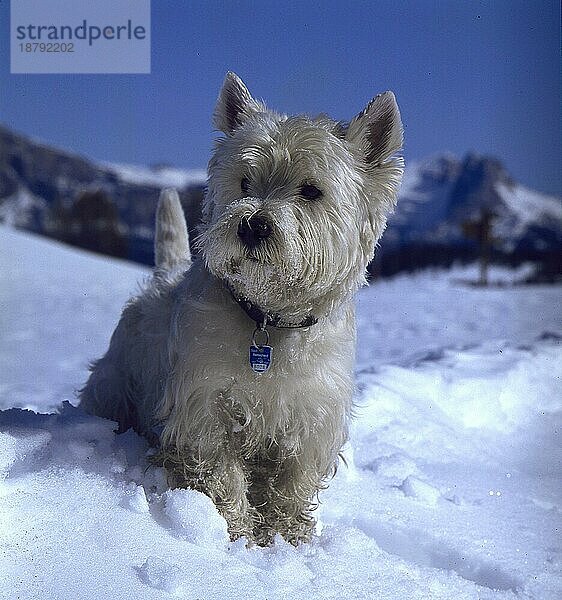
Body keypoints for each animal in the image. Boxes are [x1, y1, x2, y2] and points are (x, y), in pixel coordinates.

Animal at [80, 72, 402, 548]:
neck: (270, 320)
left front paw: (288, 538)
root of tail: (163, 274)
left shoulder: (310, 419)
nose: (252, 224)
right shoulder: (205, 408)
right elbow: (222, 475)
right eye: (245, 182)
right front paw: (236, 534)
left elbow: (293, 484)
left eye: (311, 190)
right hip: (116, 381)